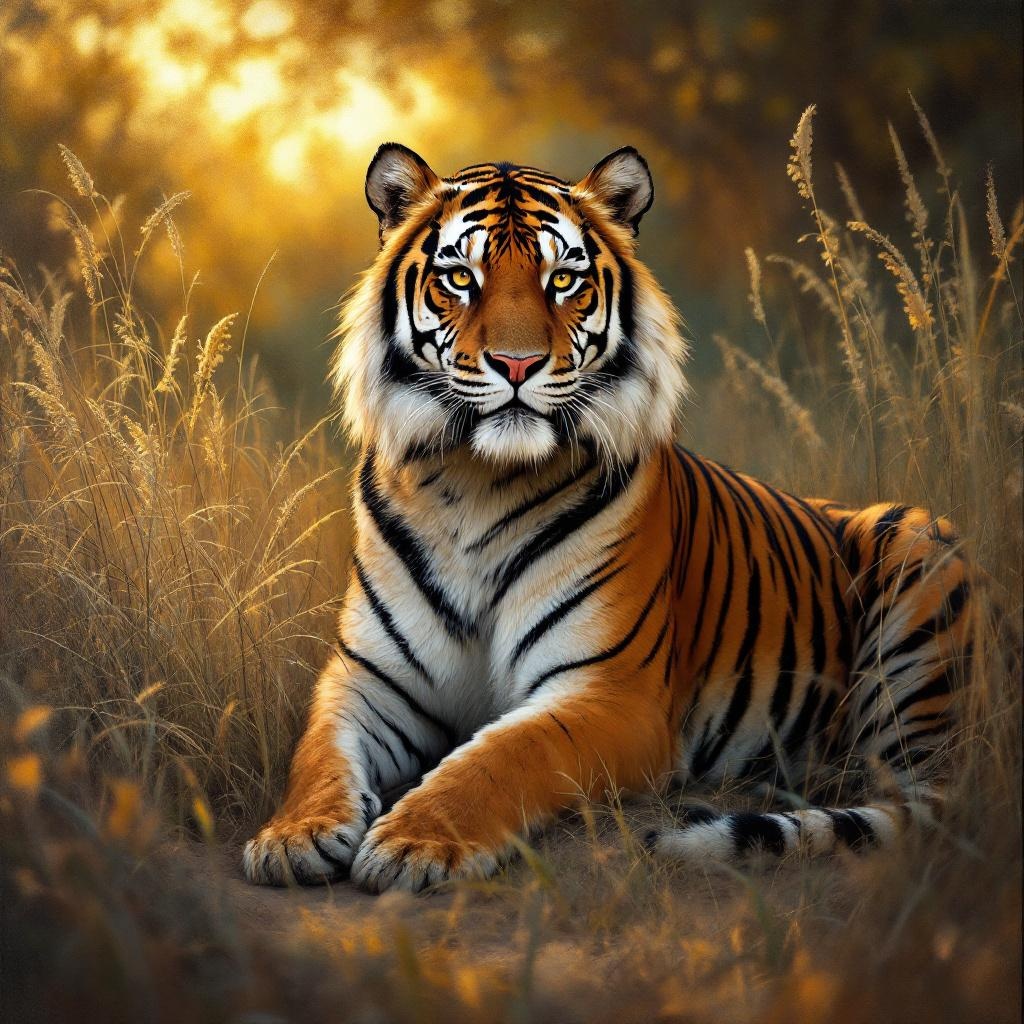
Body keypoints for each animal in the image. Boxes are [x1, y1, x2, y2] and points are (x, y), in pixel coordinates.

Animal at [242, 143, 977, 892]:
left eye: (564, 280)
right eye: (460, 277)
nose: (516, 364)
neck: (477, 483)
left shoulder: (611, 693)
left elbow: (504, 754)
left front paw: (415, 841)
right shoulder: (367, 680)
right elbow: (318, 752)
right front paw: (292, 835)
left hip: (922, 545)